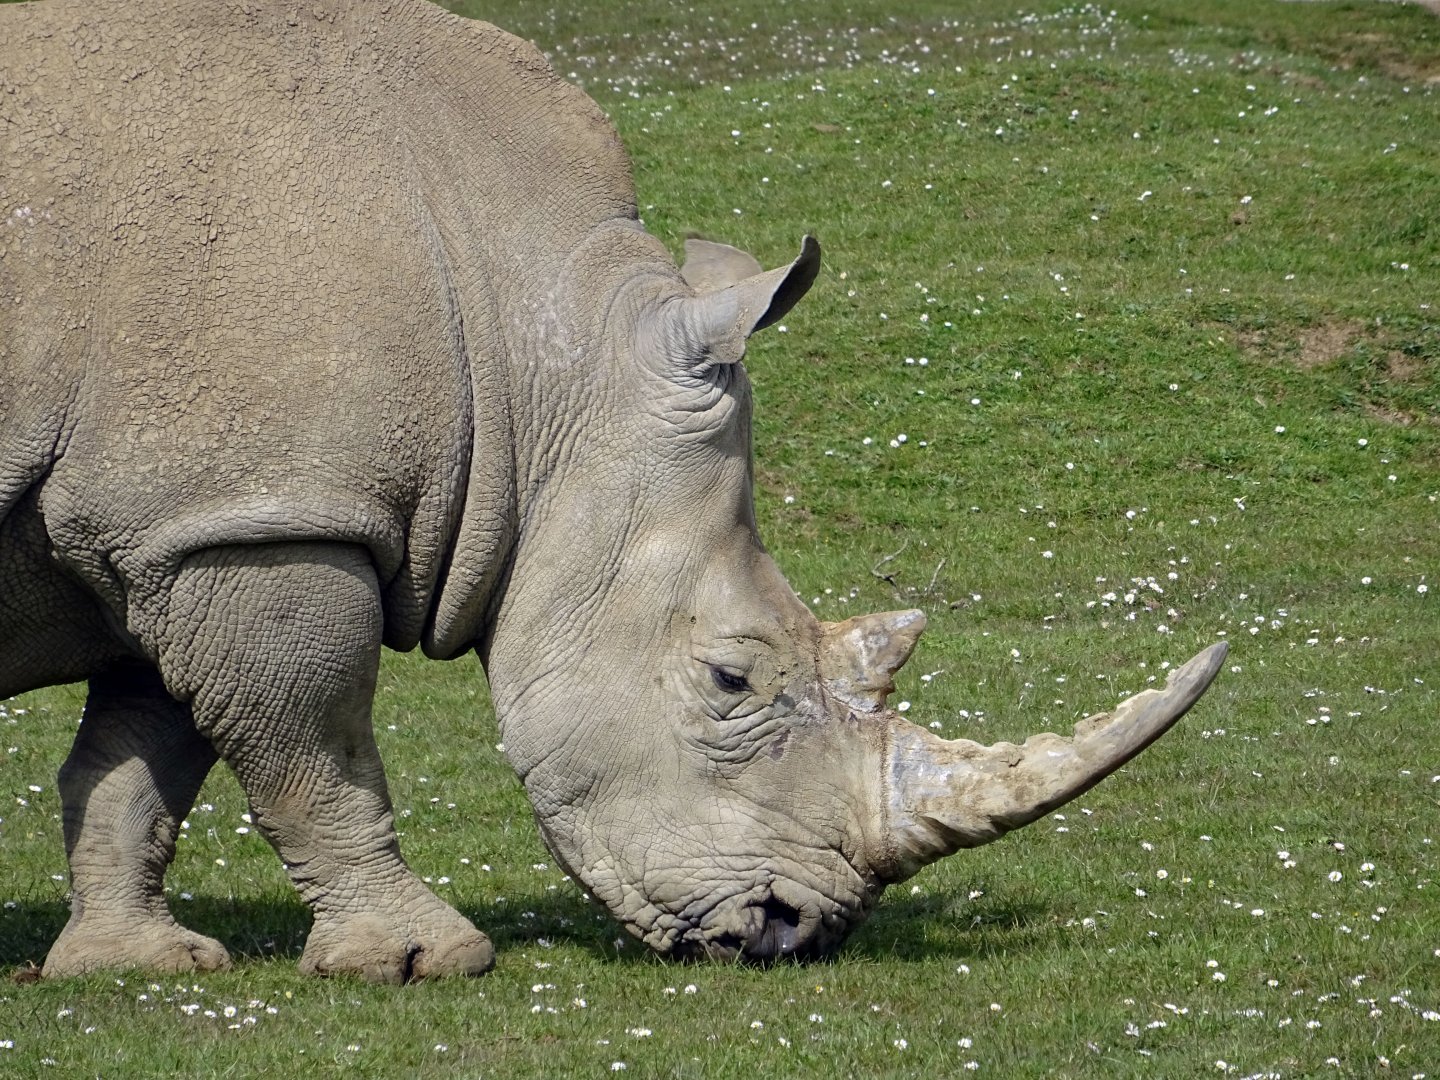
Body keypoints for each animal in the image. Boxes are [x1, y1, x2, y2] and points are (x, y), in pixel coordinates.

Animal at [0, 0, 1226, 982]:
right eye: (731, 679)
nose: (791, 931)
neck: (530, 357)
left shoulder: (189, 520)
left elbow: (144, 754)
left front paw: (134, 966)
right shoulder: (258, 516)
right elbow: (314, 741)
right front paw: (422, 962)